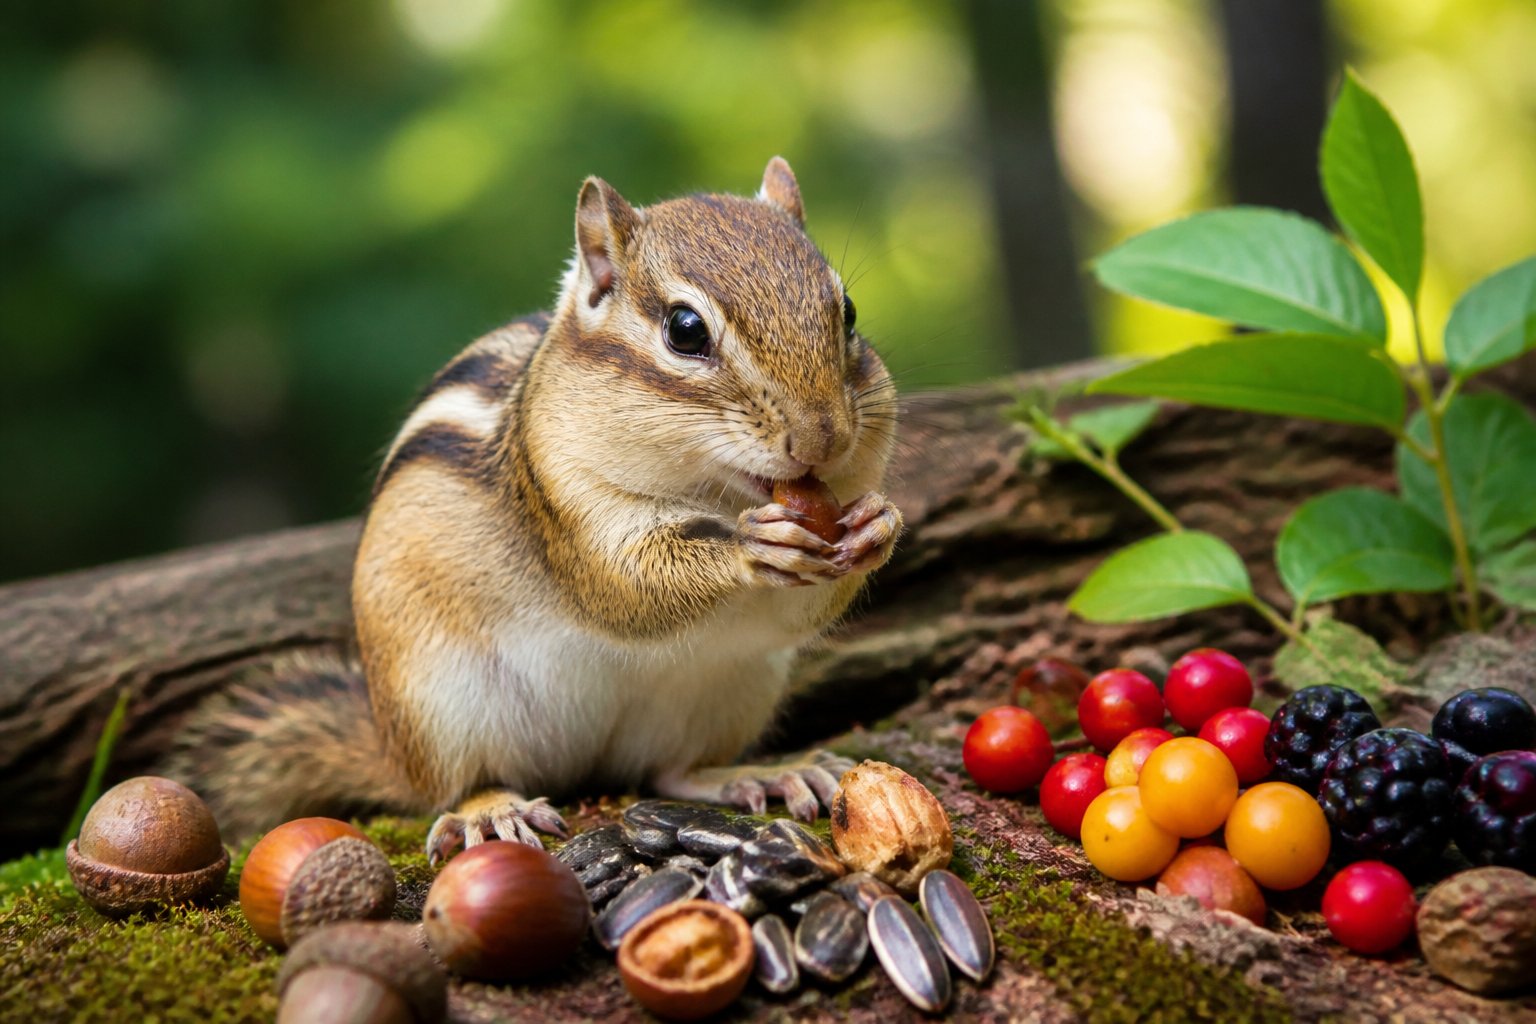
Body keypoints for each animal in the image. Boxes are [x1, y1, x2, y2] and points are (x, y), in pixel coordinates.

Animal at [160, 157, 902, 863]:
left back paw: (765, 773)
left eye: (849, 312)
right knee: (457, 785)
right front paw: (752, 547)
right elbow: (629, 587)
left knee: (671, 771)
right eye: (685, 330)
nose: (823, 440)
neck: (709, 492)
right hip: (442, 705)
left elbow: (803, 610)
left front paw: (878, 525)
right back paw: (488, 811)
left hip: (731, 691)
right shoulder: (563, 500)